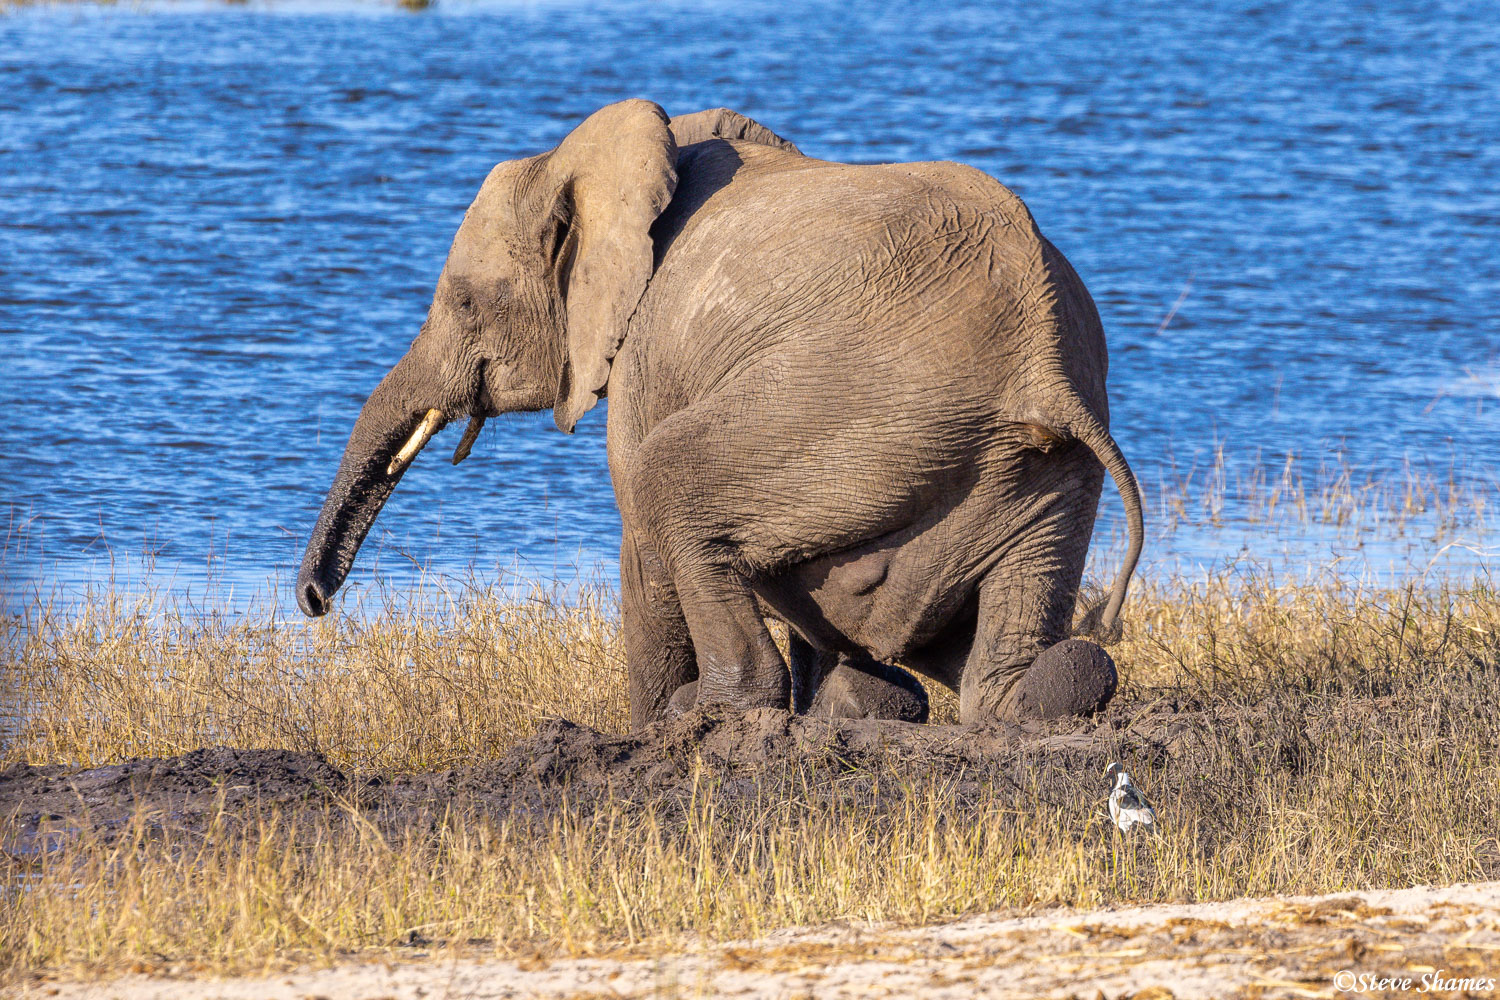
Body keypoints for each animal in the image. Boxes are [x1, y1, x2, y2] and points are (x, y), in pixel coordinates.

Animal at [292, 99, 1140, 728]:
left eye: (466, 304)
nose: (315, 604)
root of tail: (1040, 366)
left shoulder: (644, 349)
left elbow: (638, 519)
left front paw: (651, 731)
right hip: (1042, 473)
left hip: (855, 415)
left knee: (671, 481)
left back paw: (717, 712)